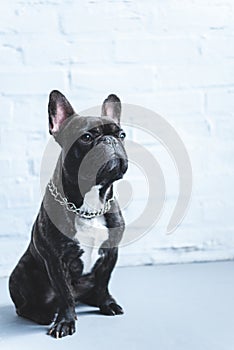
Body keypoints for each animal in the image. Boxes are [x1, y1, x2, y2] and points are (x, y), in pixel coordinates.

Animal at [9, 91, 128, 340]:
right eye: (86, 137)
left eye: (122, 135)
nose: (110, 140)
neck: (90, 204)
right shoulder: (56, 260)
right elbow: (64, 294)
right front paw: (65, 321)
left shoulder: (111, 251)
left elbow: (104, 282)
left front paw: (106, 303)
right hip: (21, 272)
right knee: (24, 306)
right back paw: (42, 314)